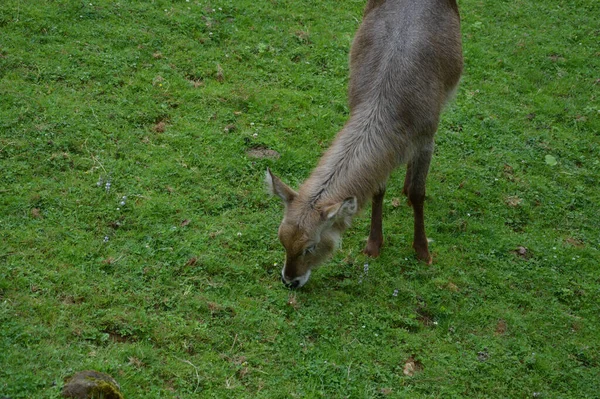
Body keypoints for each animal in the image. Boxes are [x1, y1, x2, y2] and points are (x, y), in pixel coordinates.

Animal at [268, 0, 464, 290]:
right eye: (282, 239)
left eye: (310, 247)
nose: (290, 281)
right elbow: (377, 191)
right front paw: (373, 245)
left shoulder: (427, 136)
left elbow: (419, 194)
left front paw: (423, 251)